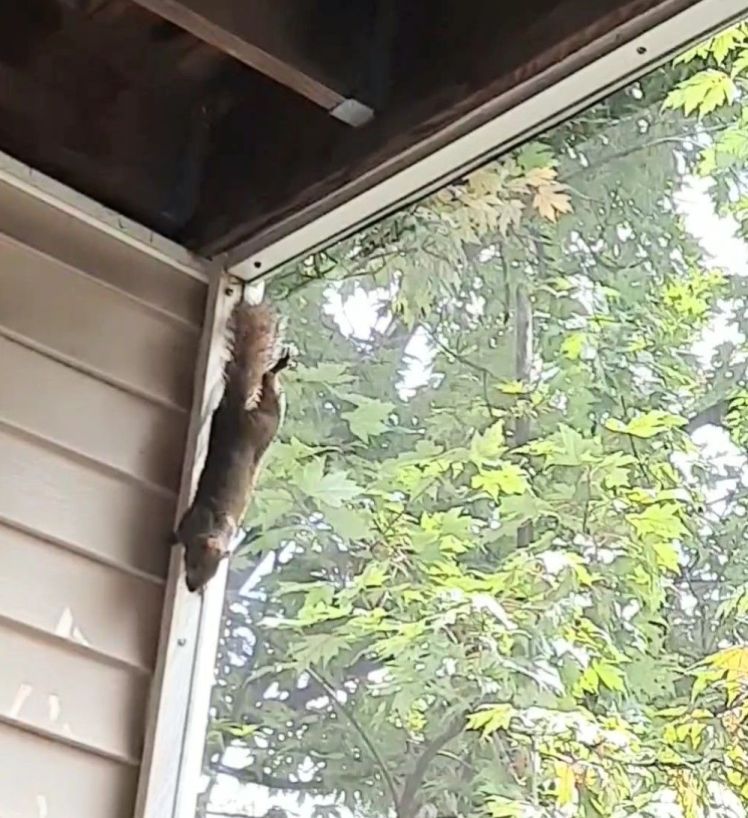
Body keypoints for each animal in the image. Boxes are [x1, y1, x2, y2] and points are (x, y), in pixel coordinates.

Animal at [175, 301, 290, 593]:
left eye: (213, 573)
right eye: (193, 562)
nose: (193, 587)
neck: (213, 528)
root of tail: (243, 416)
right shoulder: (191, 521)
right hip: (262, 424)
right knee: (269, 393)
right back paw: (276, 369)